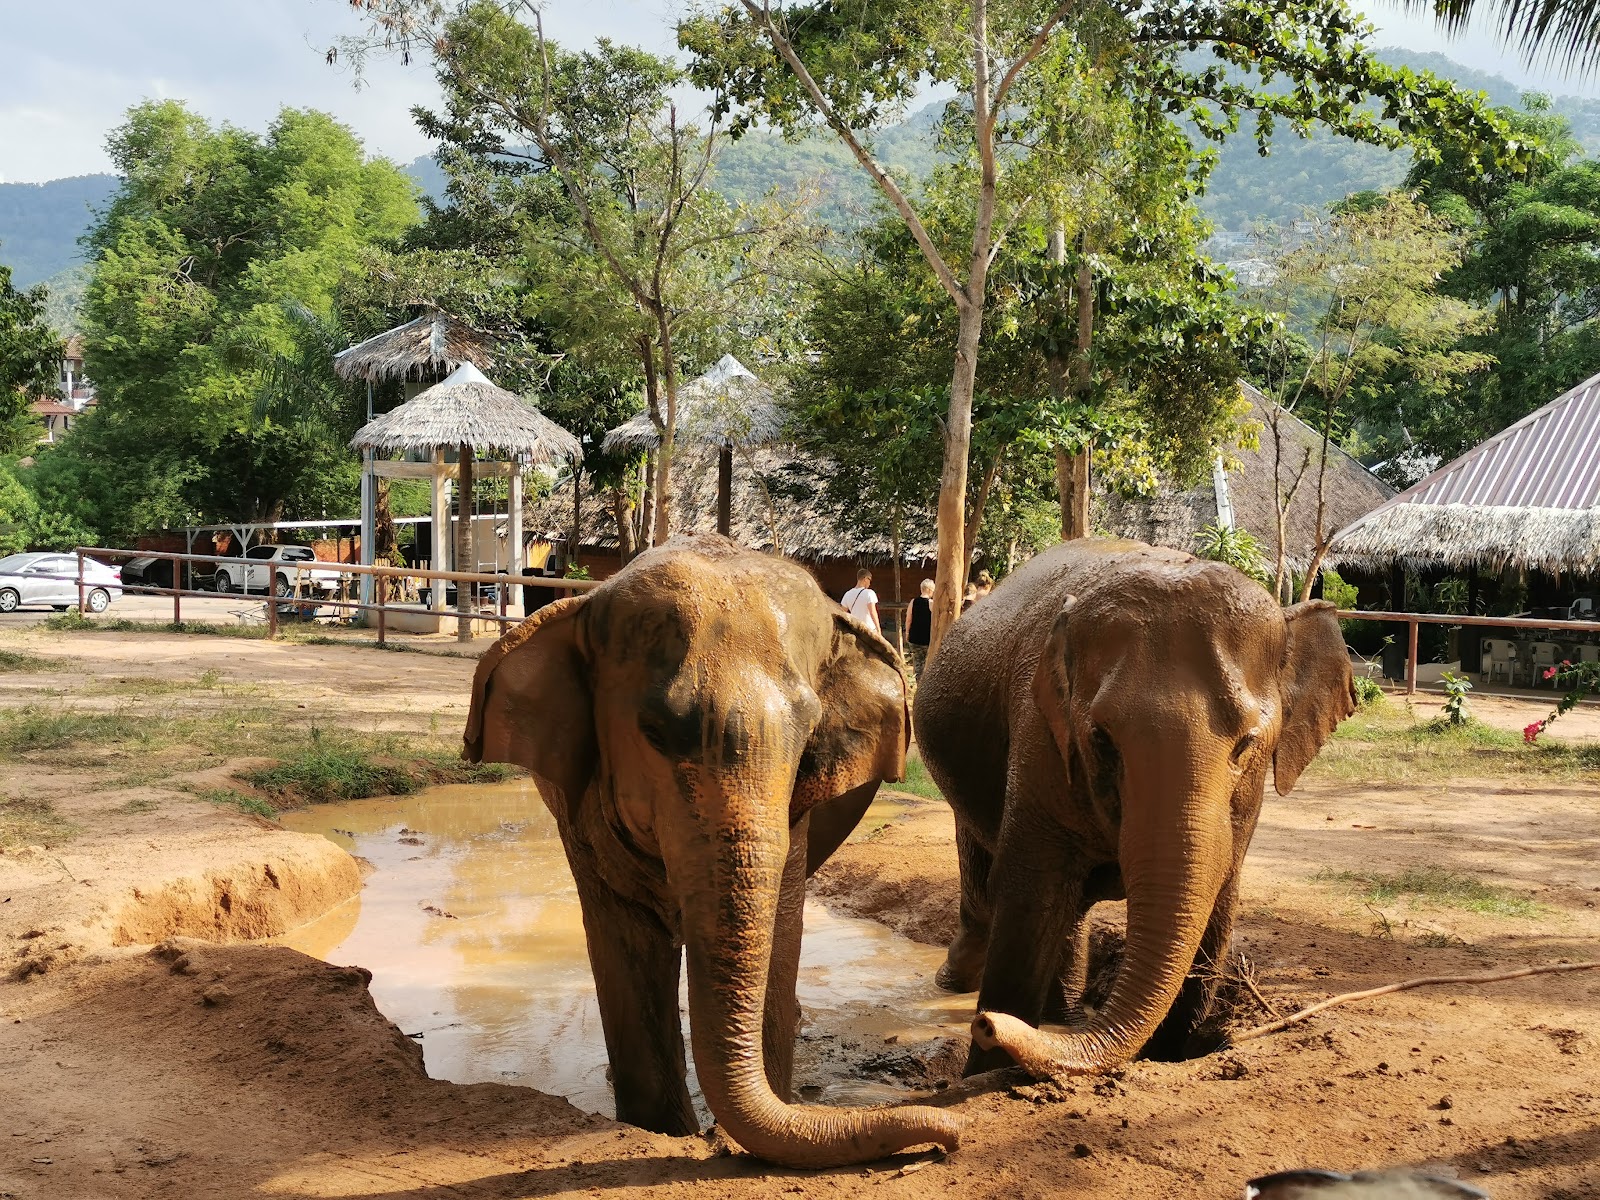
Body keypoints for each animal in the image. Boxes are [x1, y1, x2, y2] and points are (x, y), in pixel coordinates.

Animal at [463, 534, 962, 1168]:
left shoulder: (797, 817)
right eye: (652, 732)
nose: (947, 1142)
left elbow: (782, 931)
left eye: (809, 734)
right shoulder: (579, 809)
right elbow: (624, 939)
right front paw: (660, 1129)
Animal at [913, 538, 1355, 1078]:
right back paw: (958, 984)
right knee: (986, 877)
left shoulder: (1246, 808)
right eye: (1102, 739)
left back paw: (1062, 1016)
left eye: (1246, 744)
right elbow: (1029, 896)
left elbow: (1218, 903)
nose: (985, 1025)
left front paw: (1168, 1055)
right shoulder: (1038, 736)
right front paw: (984, 1072)